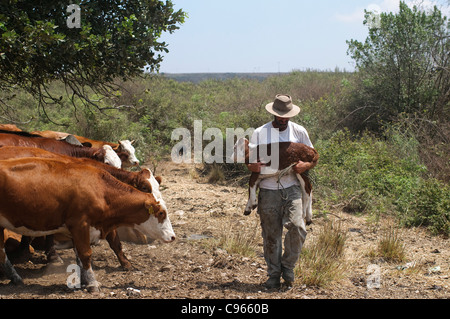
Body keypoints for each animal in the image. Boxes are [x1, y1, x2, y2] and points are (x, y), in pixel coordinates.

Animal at [0, 158, 176, 292]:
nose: (173, 237)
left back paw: (15, 278)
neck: (101, 190)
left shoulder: (78, 230)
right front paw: (92, 283)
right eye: (161, 213)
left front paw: (84, 280)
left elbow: (79, 256)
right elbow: (85, 254)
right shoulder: (80, 225)